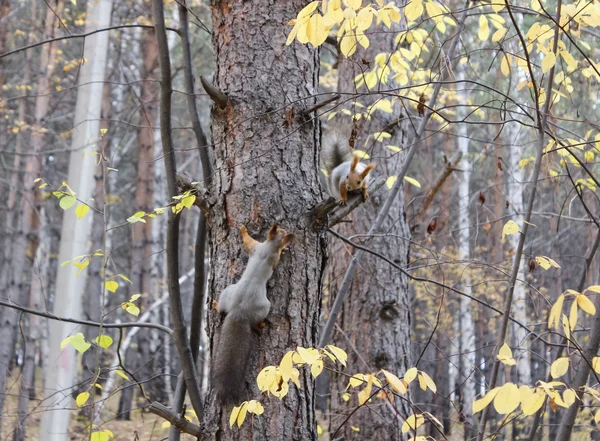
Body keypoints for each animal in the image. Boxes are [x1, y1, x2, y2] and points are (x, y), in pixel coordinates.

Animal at [212, 223, 294, 406]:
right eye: (282, 231)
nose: (286, 231)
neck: (269, 247)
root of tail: (239, 311)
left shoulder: (257, 248)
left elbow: (247, 243)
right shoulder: (264, 251)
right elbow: (256, 247)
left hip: (227, 292)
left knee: (221, 308)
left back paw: (215, 305)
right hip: (264, 307)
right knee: (256, 323)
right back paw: (260, 325)